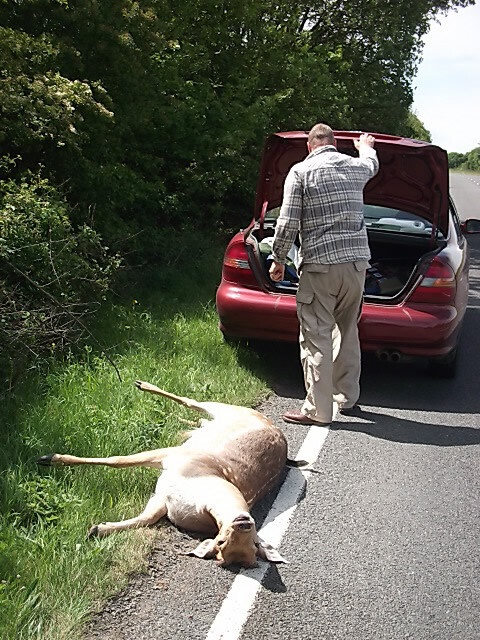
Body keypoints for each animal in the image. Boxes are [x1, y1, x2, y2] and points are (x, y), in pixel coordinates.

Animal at [37, 380, 288, 564]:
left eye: (254, 545)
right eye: (221, 542)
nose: (243, 521)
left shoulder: (163, 495)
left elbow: (146, 518)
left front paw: (97, 529)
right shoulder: (176, 457)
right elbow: (117, 460)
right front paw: (49, 458)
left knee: (198, 417)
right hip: (231, 410)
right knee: (193, 402)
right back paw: (142, 384)